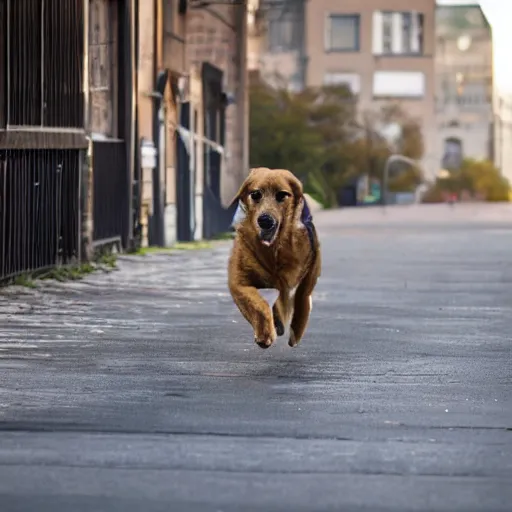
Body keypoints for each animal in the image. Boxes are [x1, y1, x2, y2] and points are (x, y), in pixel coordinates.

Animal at [227, 167, 320, 348]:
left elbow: (299, 301)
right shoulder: (238, 283)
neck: (271, 250)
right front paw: (265, 334)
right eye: (255, 194)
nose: (265, 220)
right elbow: (258, 304)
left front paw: (293, 333)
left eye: (282, 195)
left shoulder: (300, 278)